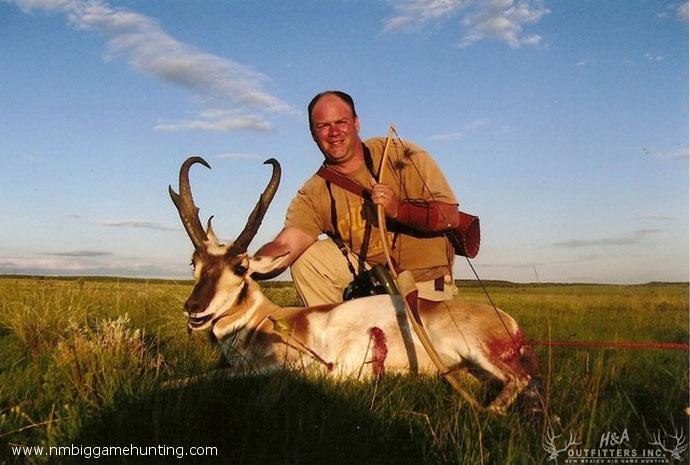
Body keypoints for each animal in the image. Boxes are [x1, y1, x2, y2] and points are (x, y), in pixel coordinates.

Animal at [169, 156, 536, 414]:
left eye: (240, 267)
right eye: (194, 263)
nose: (193, 308)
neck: (268, 319)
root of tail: (509, 322)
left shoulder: (279, 364)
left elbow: (203, 376)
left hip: (478, 352)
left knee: (520, 380)